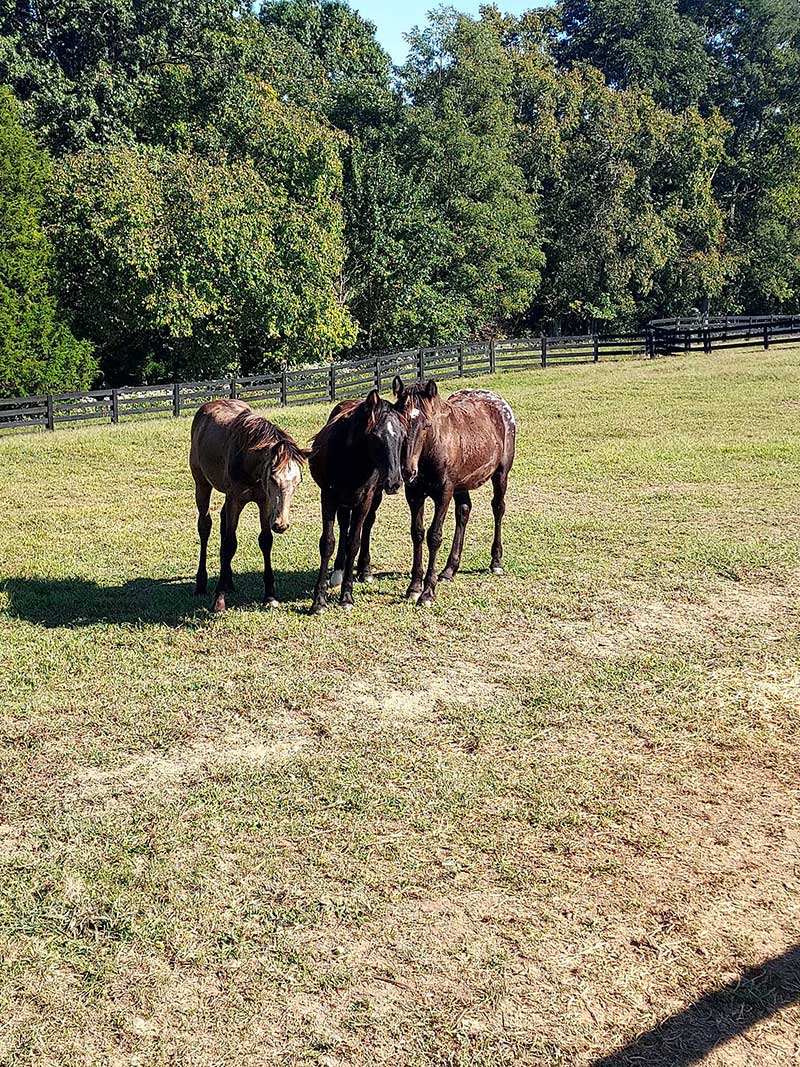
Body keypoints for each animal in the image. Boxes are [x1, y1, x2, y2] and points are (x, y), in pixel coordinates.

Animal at [190, 396, 309, 614]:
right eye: (273, 478)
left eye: (298, 482)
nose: (281, 524)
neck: (248, 459)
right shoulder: (235, 499)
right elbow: (230, 544)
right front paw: (219, 600)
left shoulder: (264, 501)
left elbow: (265, 540)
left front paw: (270, 596)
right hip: (202, 484)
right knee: (205, 525)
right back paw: (201, 583)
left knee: (222, 522)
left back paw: (228, 580)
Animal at [309, 388, 407, 614]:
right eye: (376, 437)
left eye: (403, 436)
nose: (395, 482)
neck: (352, 460)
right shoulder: (328, 497)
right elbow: (328, 542)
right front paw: (319, 601)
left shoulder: (365, 499)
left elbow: (354, 541)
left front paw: (346, 597)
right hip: (343, 502)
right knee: (344, 524)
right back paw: (338, 570)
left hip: (373, 498)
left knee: (367, 526)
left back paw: (364, 570)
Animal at [392, 379, 516, 606]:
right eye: (400, 422)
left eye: (426, 425)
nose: (407, 470)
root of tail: (499, 402)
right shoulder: (414, 494)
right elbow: (417, 533)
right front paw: (414, 587)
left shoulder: (444, 493)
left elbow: (434, 536)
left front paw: (427, 593)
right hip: (462, 484)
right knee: (464, 512)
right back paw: (449, 569)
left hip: (501, 473)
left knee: (498, 508)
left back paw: (496, 562)